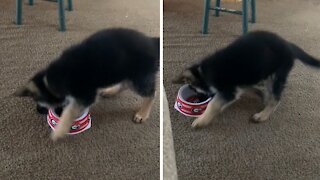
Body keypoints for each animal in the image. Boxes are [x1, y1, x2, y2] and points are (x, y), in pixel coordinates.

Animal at [15, 28, 160, 141]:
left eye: (51, 105)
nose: (39, 110)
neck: (58, 75)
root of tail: (152, 42)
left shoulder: (86, 94)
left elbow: (71, 110)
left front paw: (60, 130)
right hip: (127, 72)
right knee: (125, 84)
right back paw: (111, 91)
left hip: (139, 76)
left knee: (150, 93)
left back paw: (142, 113)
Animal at [174, 30, 318, 127]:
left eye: (196, 91)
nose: (198, 101)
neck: (204, 73)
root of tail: (288, 44)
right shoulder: (239, 85)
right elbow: (249, 89)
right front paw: (260, 95)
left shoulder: (228, 90)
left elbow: (213, 104)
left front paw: (202, 120)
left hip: (276, 75)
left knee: (276, 98)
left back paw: (263, 115)